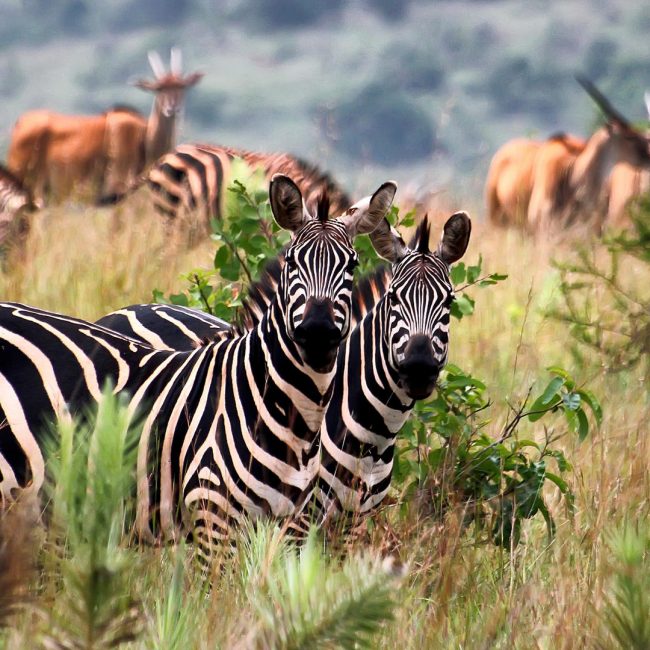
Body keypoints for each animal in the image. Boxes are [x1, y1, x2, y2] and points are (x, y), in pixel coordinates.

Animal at [0, 175, 394, 560]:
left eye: (352, 266)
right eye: (292, 263)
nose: (317, 331)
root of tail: (123, 309)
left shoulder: (321, 525)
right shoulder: (219, 517)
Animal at [6, 48, 201, 205]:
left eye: (182, 87)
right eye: (158, 88)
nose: (172, 109)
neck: (144, 136)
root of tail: (20, 122)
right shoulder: (118, 187)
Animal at [96, 210, 470, 524]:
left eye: (449, 301)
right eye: (393, 298)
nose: (419, 367)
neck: (374, 434)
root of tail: (123, 311)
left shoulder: (353, 523)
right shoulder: (298, 516)